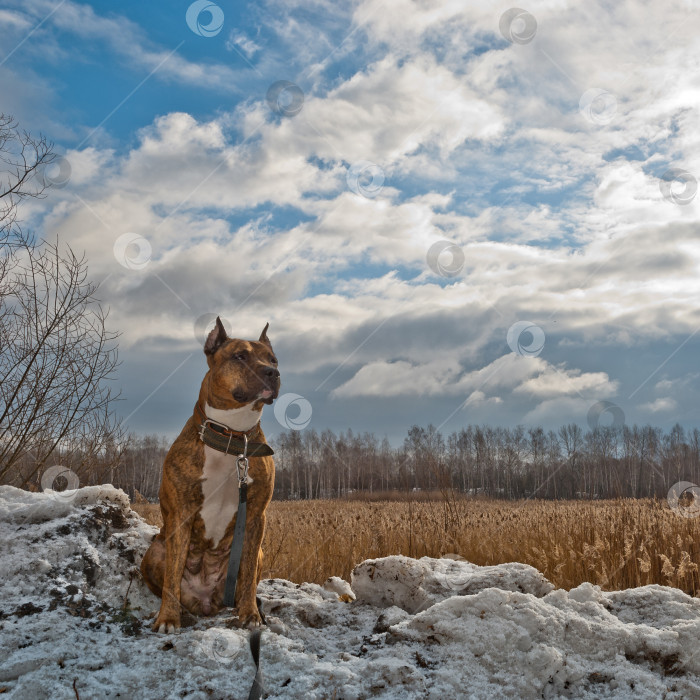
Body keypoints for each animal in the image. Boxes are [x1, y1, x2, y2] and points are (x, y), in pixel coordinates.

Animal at [141, 318, 280, 636]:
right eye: (239, 356)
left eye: (273, 359)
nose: (273, 373)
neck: (231, 438)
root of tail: (206, 601)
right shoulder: (182, 513)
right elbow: (172, 577)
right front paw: (167, 618)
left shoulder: (256, 515)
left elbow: (248, 575)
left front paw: (250, 614)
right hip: (155, 550)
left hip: (258, 552)